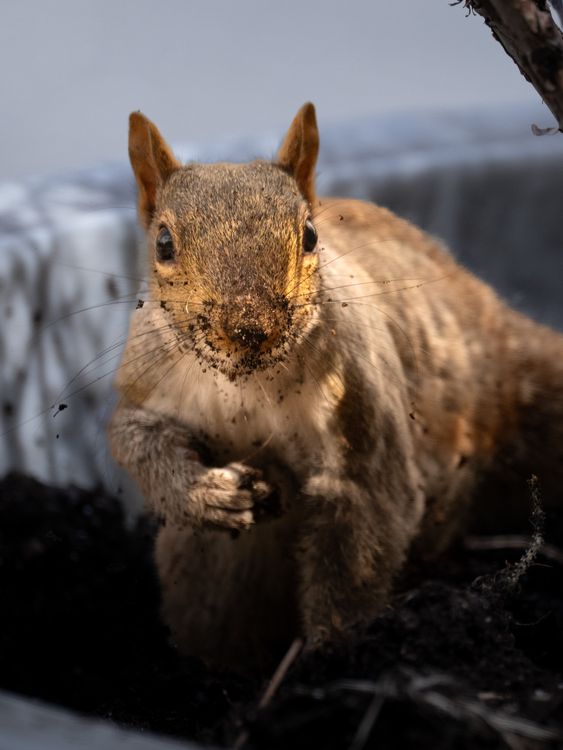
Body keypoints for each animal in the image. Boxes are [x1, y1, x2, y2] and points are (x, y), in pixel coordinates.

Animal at [108, 103, 563, 671]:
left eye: (309, 235)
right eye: (164, 243)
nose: (251, 328)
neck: (243, 386)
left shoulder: (362, 423)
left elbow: (360, 543)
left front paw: (326, 661)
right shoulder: (146, 387)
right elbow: (133, 440)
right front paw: (208, 494)